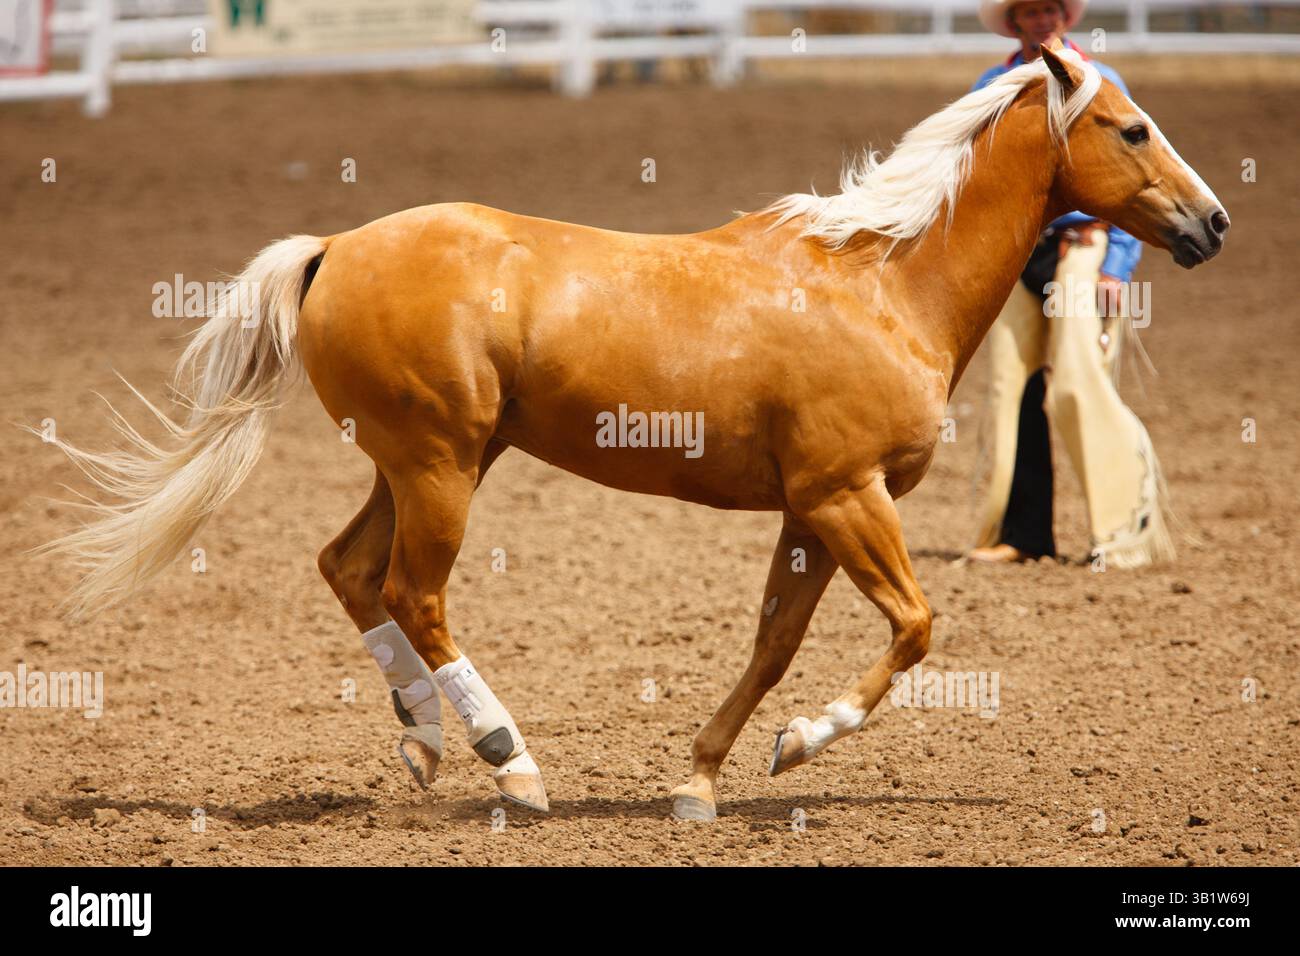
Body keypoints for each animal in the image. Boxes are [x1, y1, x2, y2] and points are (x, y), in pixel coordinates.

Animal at [40, 46, 1227, 821]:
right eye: (1131, 128)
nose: (1211, 222)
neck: (883, 283)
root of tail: (336, 245)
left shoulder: (808, 511)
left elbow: (772, 643)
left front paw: (700, 778)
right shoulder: (847, 495)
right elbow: (914, 627)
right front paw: (799, 744)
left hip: (422, 462)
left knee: (348, 568)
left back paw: (422, 741)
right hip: (440, 466)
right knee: (413, 594)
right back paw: (507, 759)